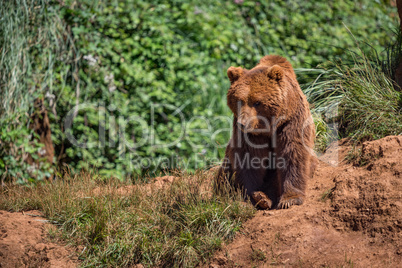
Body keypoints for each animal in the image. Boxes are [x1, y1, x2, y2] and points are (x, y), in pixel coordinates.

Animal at [217, 54, 318, 209]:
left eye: (257, 102)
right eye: (239, 100)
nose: (242, 123)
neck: (268, 126)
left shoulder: (291, 121)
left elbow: (292, 151)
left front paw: (290, 199)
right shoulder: (250, 134)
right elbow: (249, 156)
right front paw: (252, 195)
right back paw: (262, 197)